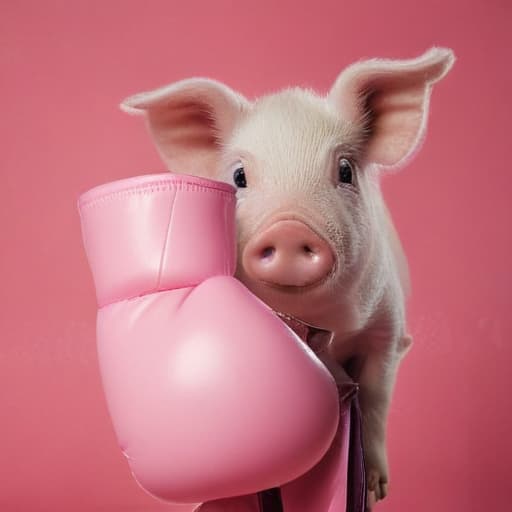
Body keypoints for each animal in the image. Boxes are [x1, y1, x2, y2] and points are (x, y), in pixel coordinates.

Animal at [121, 49, 456, 508]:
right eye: (239, 177)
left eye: (345, 170)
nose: (289, 229)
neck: (321, 323)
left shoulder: (385, 329)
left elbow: (375, 397)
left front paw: (375, 490)